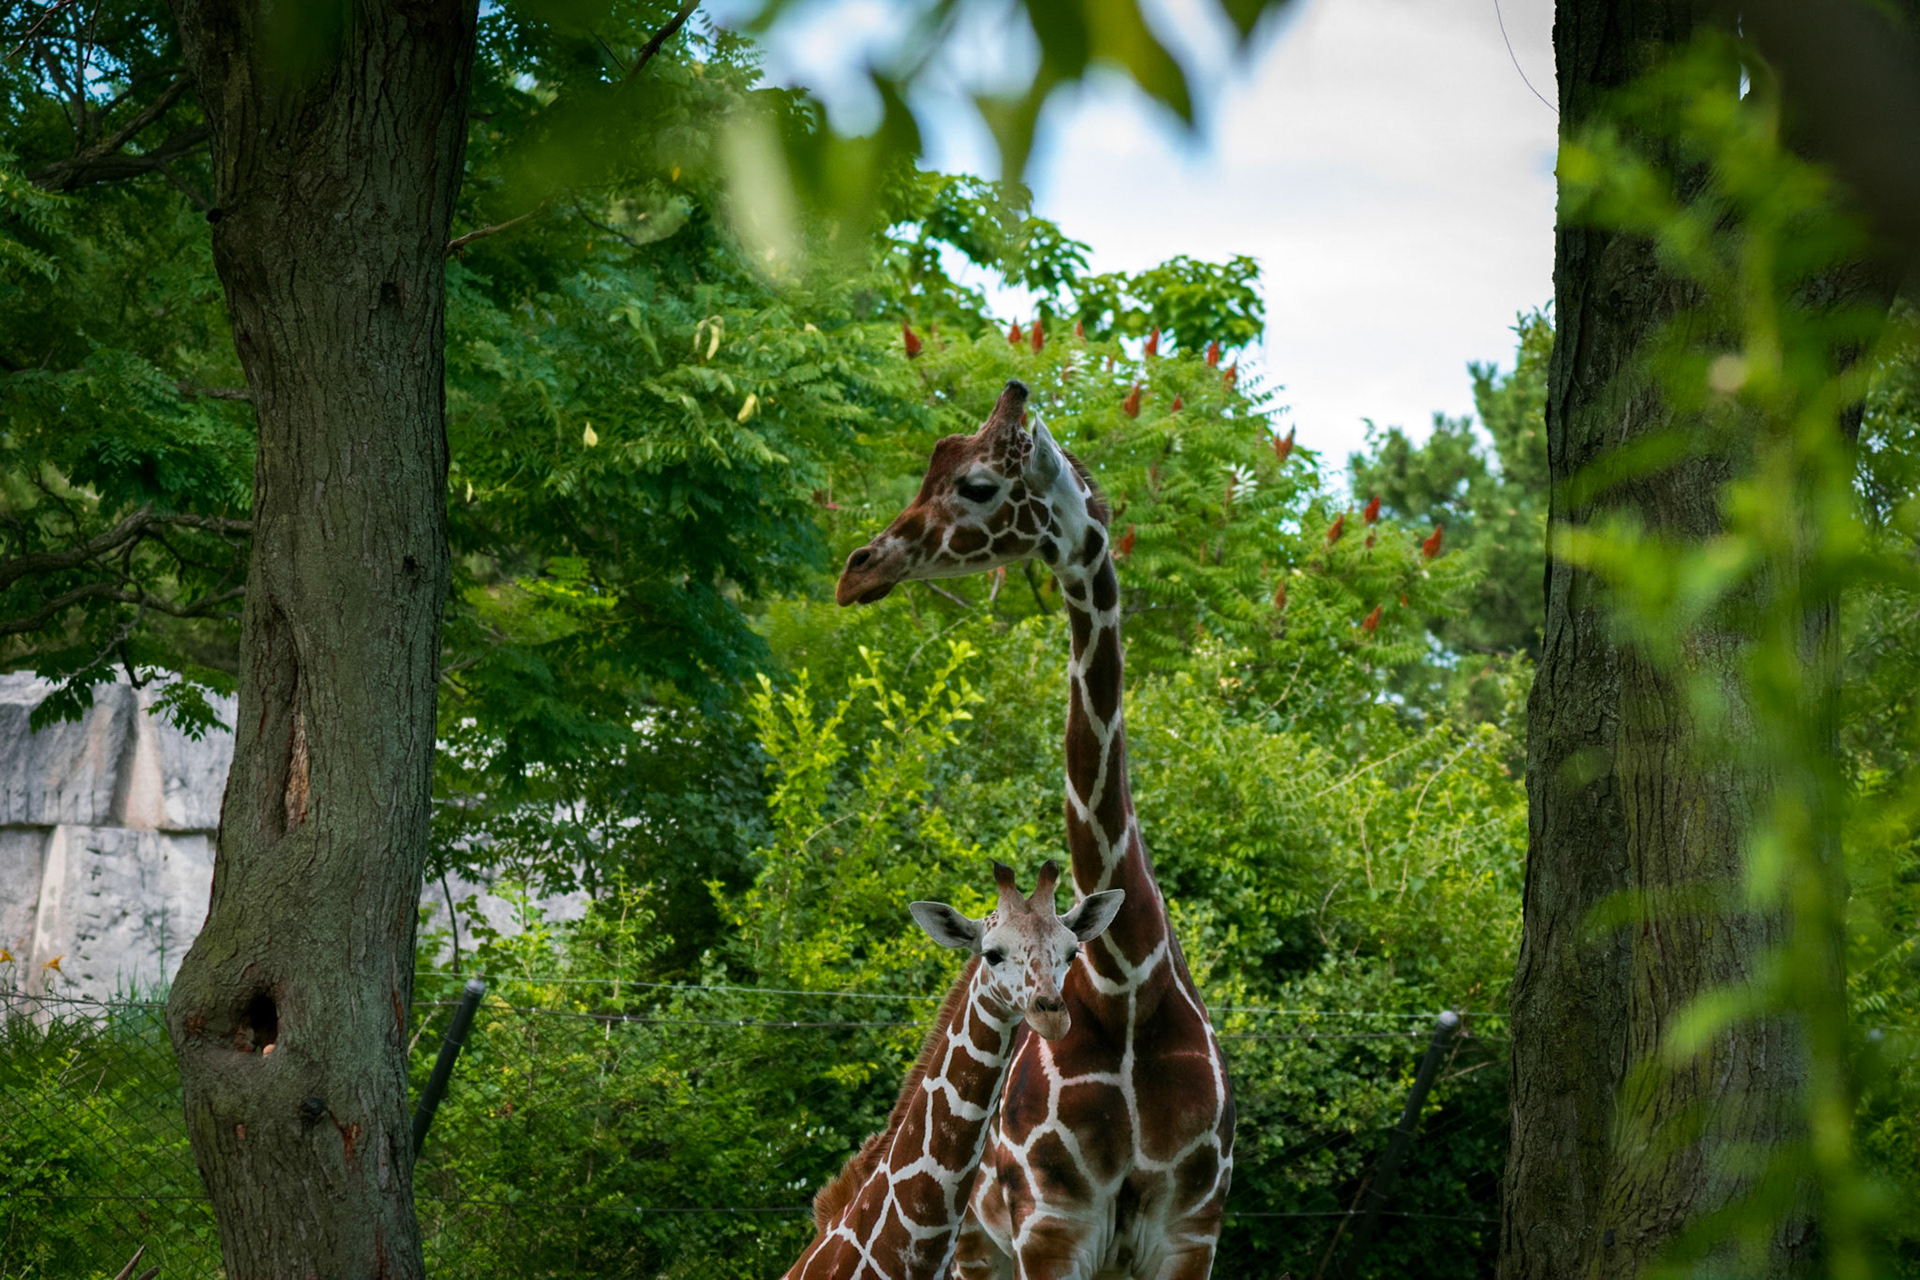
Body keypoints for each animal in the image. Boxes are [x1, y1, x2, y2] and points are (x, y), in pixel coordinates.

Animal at [835, 379, 1235, 1280]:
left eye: (976, 484)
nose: (856, 570)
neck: (1129, 990)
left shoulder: (1192, 1227)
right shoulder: (1051, 1225)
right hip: (975, 1248)